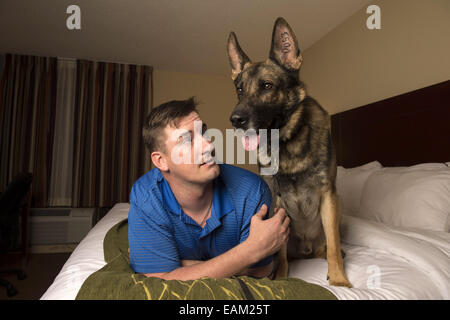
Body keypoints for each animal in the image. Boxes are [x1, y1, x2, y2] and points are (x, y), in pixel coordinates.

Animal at [229, 17, 352, 288]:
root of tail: (306, 250)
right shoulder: (277, 203)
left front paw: (339, 279)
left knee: (328, 246)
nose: (235, 120)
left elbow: (334, 245)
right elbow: (280, 252)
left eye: (266, 86)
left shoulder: (328, 195)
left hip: (336, 210)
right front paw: (281, 279)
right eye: (239, 90)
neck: (287, 144)